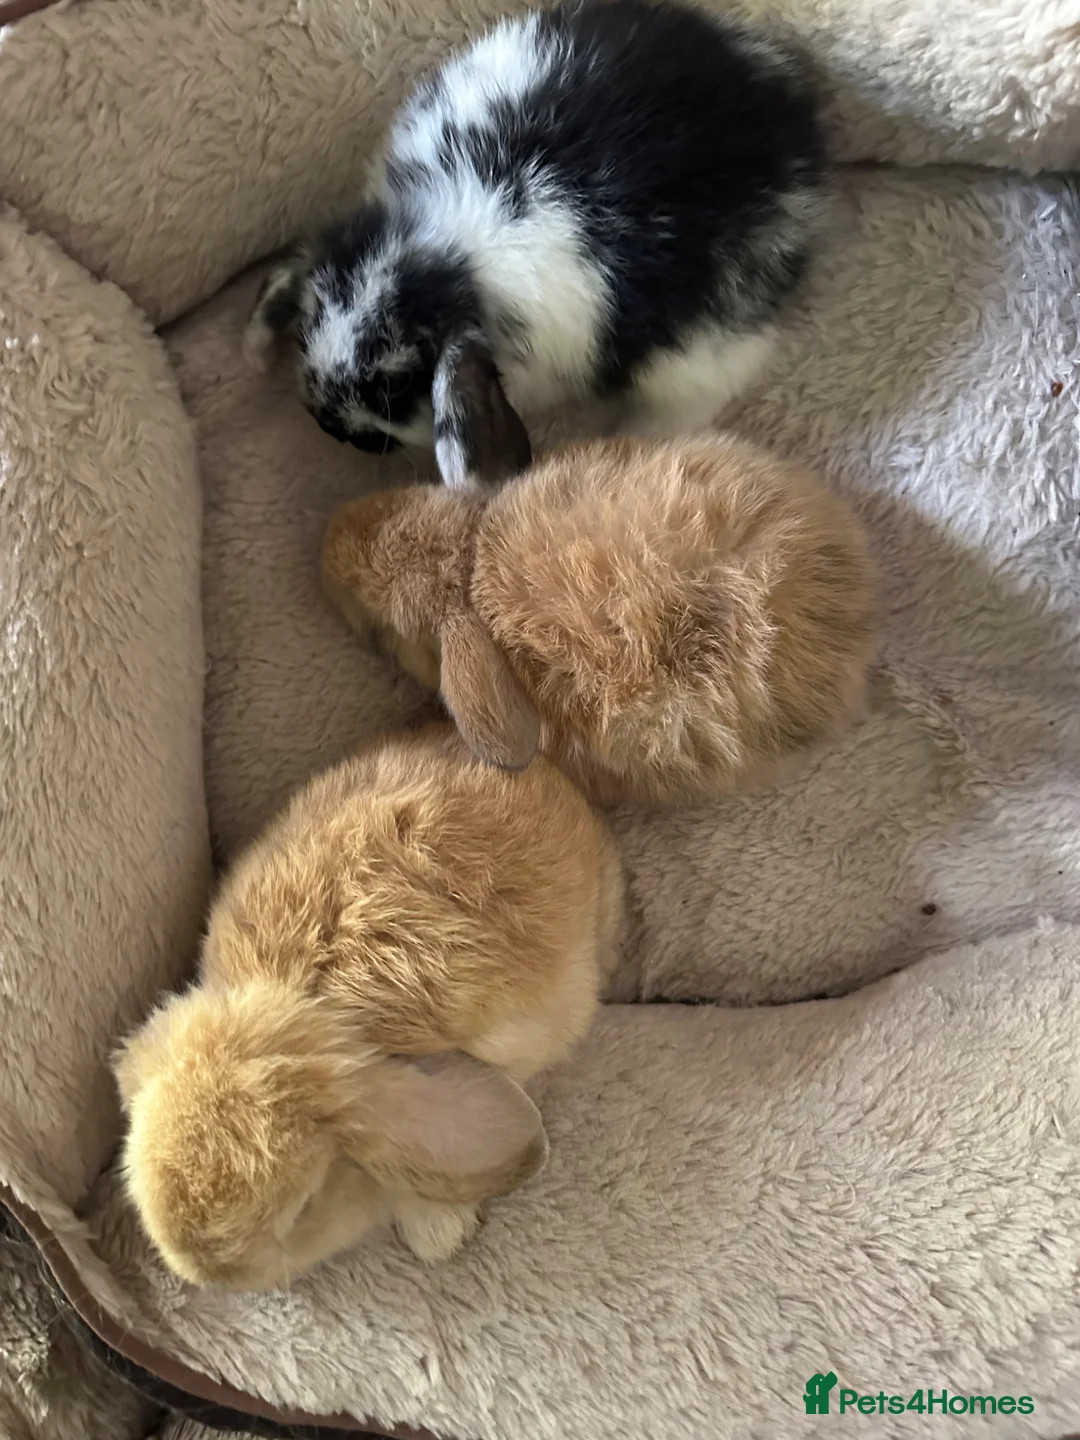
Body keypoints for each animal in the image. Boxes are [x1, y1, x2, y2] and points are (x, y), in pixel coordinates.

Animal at [243, 0, 827, 481]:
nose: (327, 425)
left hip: (701, 352)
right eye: (306, 327)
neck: (451, 251)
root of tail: (790, 112)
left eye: (395, 384)